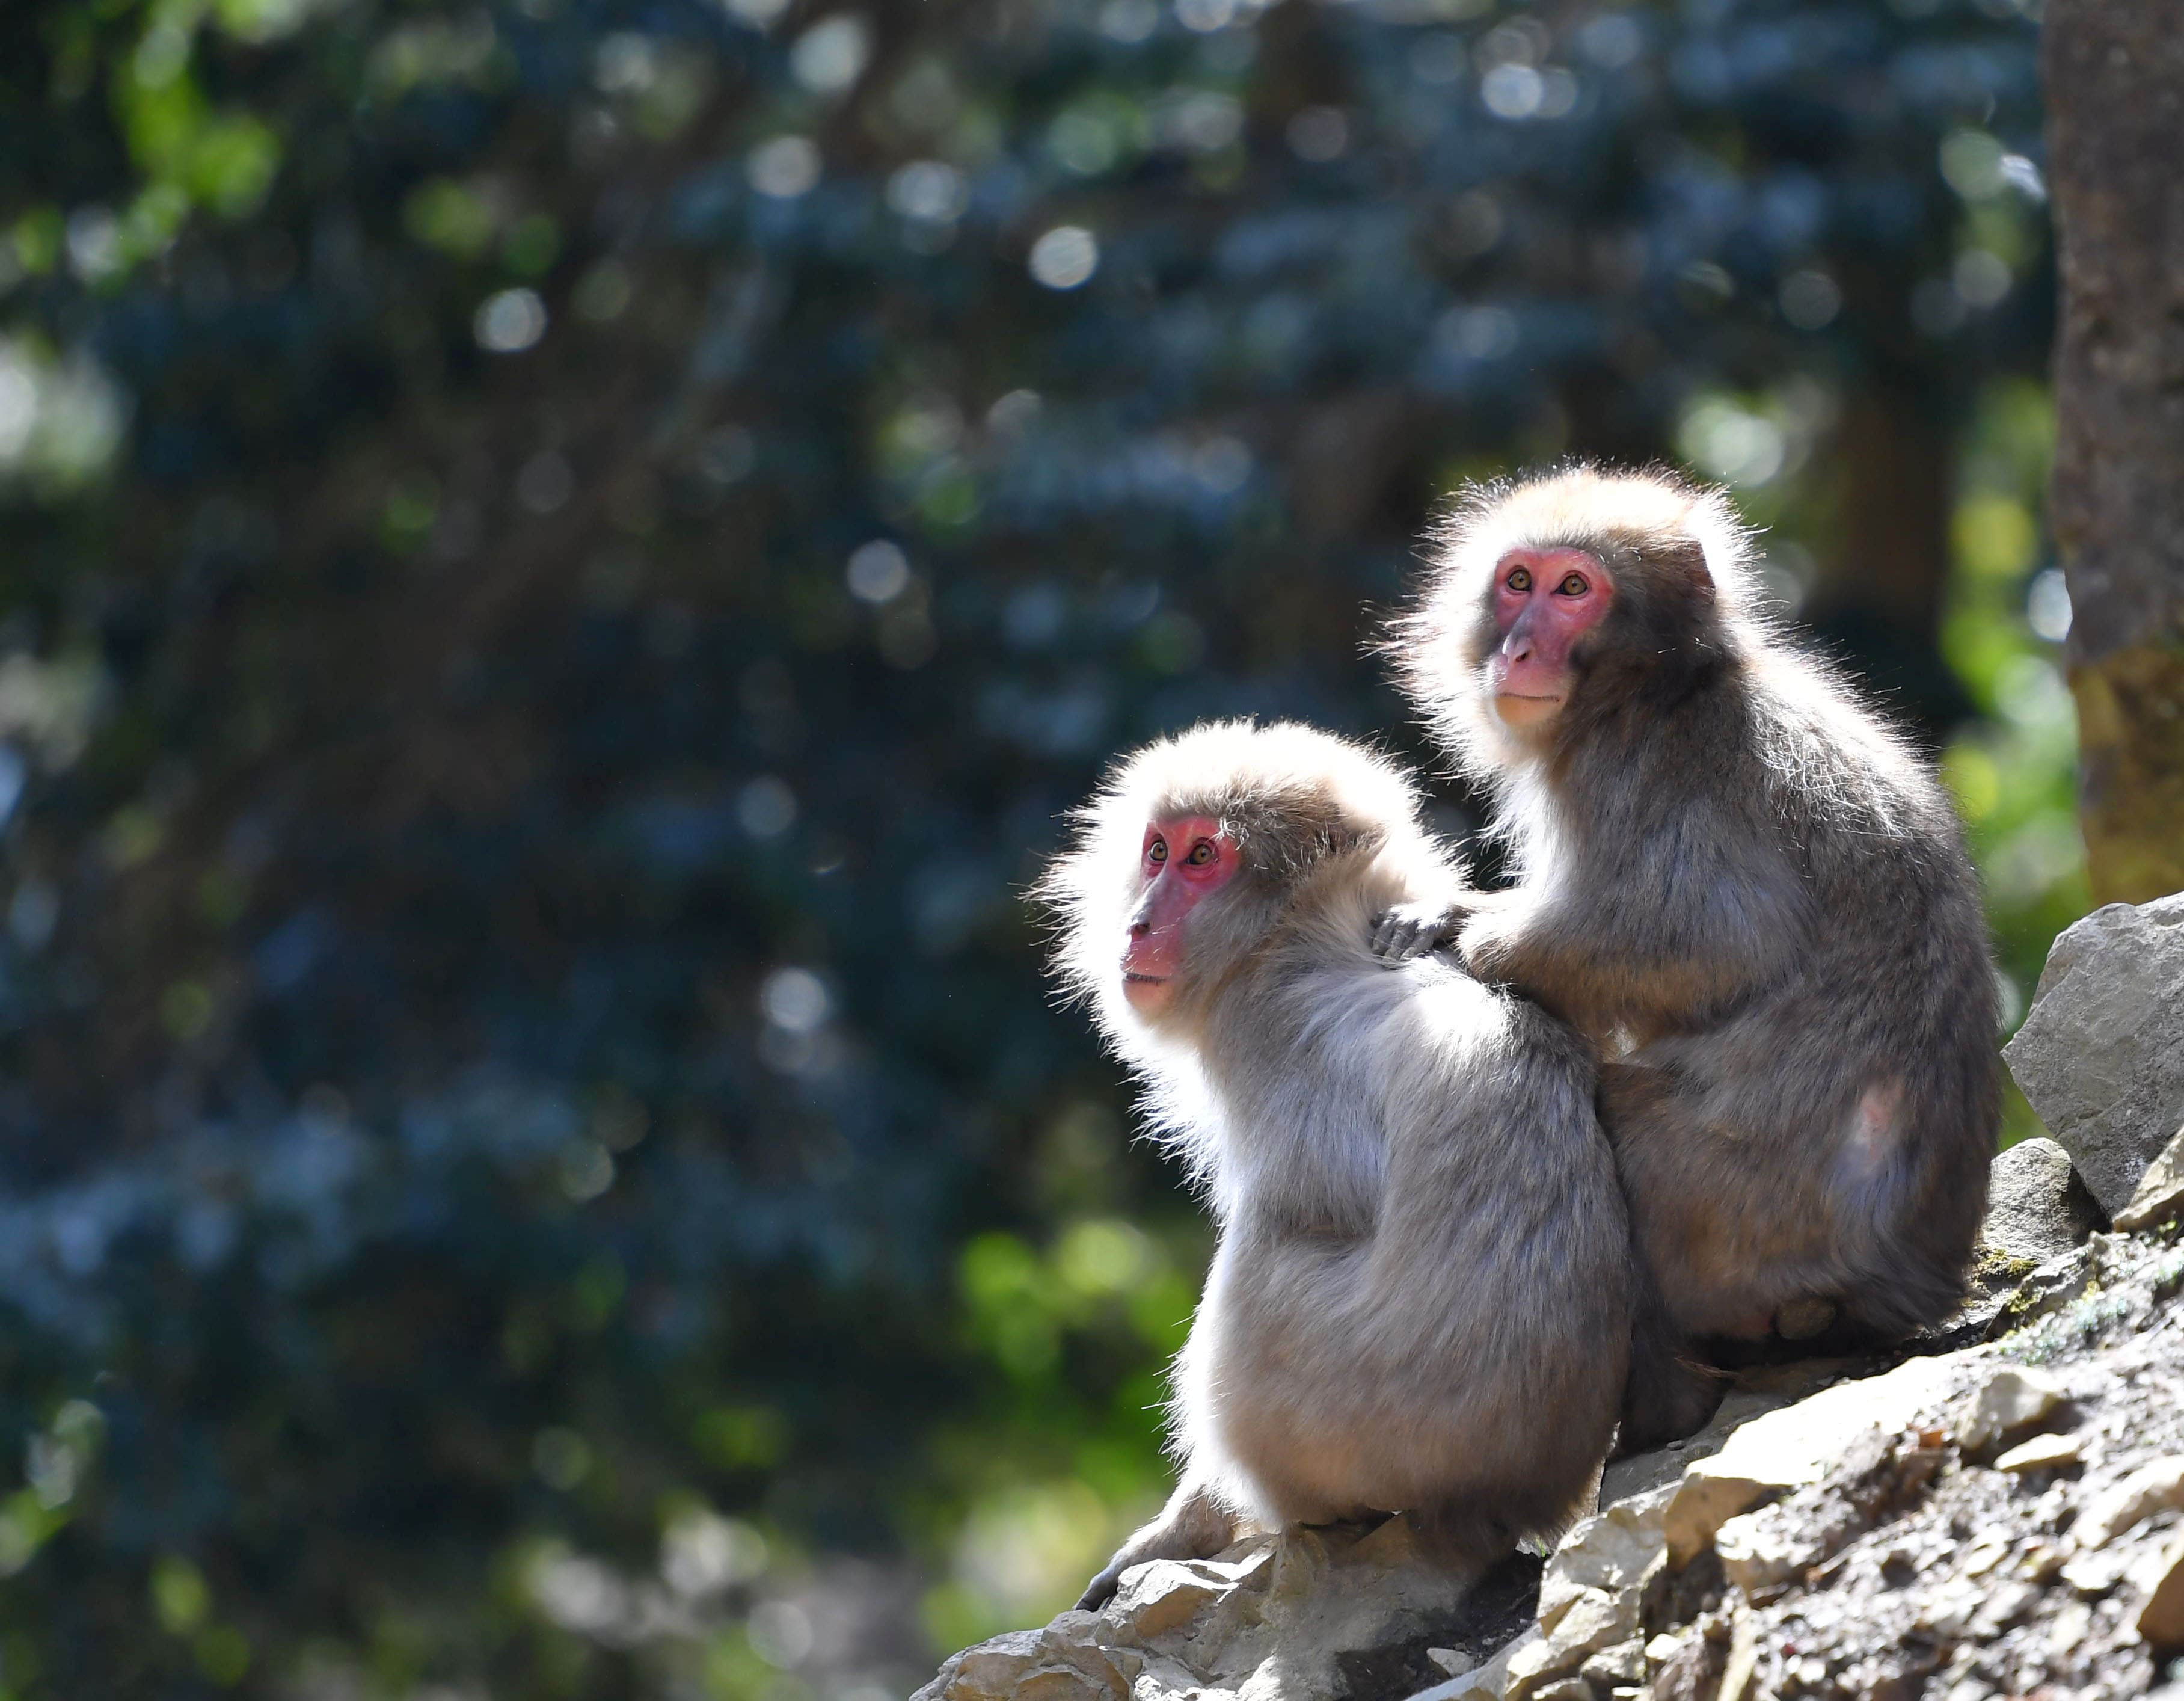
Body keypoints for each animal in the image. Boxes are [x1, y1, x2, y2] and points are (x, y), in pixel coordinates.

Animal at [1035, 720, 1625, 1607]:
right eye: (1157, 852)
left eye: (1202, 857)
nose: (1137, 924)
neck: (1298, 928)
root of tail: (1513, 1496)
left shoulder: (1269, 1033)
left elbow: (1307, 1208)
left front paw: (1185, 1526)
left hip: (1339, 1435)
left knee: (1262, 1252)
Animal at [1380, 469, 2000, 1450]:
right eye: (1517, 583)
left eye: (1573, 589)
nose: (1517, 650)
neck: (1660, 690)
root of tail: (1917, 1286)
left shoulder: (1645, 775)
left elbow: (1707, 944)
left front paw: (1475, 936)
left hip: (1750, 1222)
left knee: (1625, 1118)